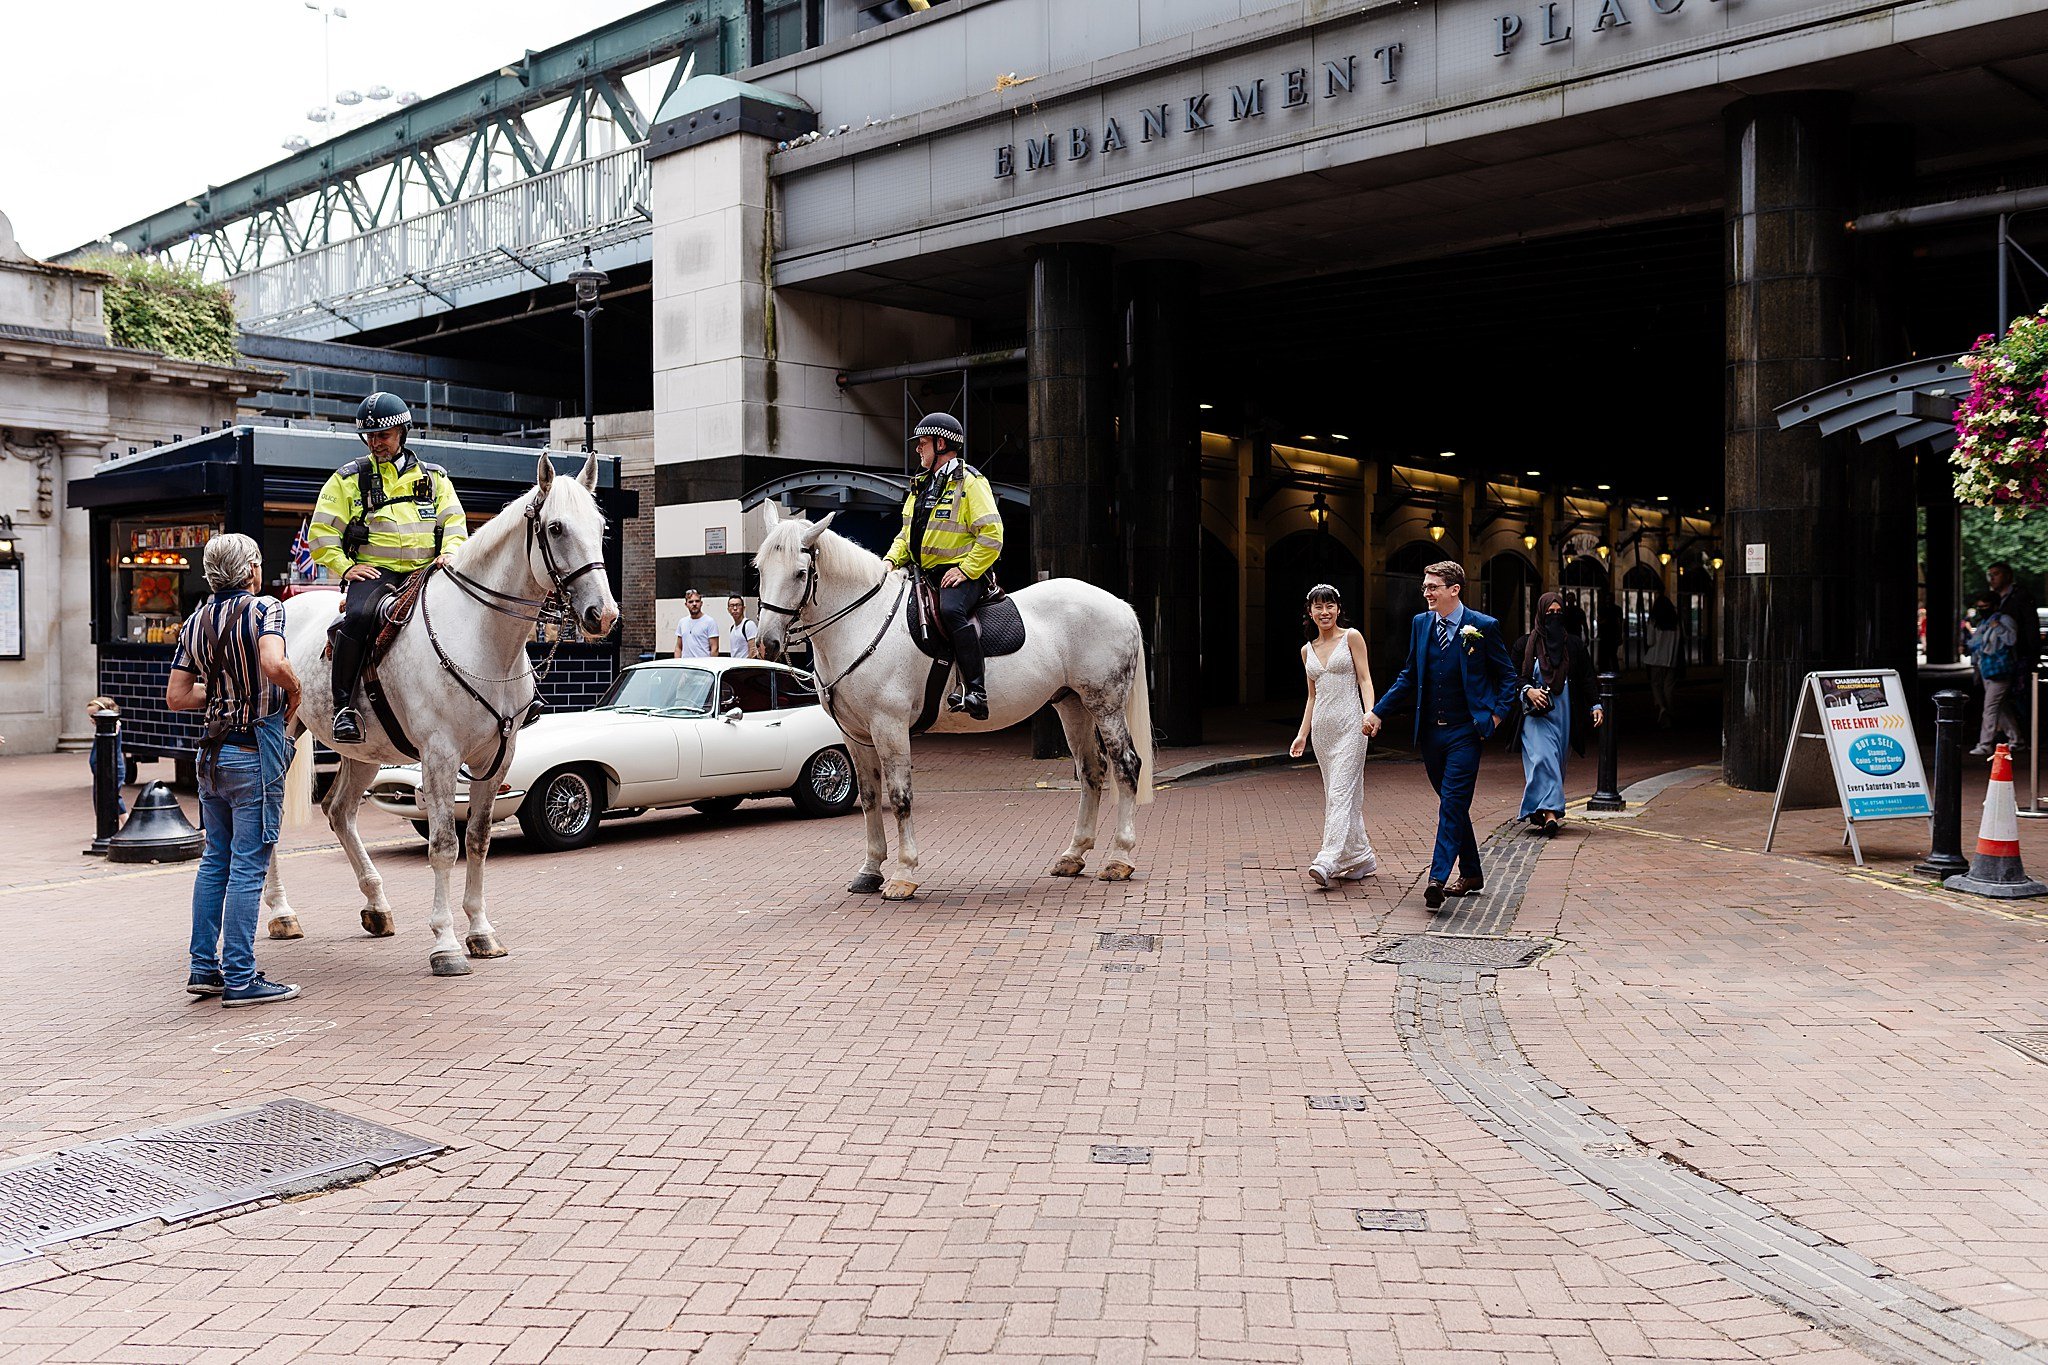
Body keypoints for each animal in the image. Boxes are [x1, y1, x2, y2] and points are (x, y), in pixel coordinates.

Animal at [264, 454, 614, 978]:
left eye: (601, 526)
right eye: (555, 527)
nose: (602, 615)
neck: (482, 637)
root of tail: (286, 600)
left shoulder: (497, 758)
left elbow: (479, 840)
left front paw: (481, 932)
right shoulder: (440, 757)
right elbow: (445, 845)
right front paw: (445, 943)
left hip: (363, 752)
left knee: (340, 811)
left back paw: (376, 906)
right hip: (278, 737)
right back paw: (282, 912)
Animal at [753, 507, 1155, 900]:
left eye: (800, 572)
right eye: (758, 569)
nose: (767, 642)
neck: (862, 622)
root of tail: (1119, 604)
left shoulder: (889, 727)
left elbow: (899, 796)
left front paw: (903, 874)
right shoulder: (855, 735)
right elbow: (869, 797)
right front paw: (870, 870)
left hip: (1105, 703)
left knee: (1126, 766)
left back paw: (1119, 858)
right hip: (1072, 705)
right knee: (1091, 770)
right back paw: (1074, 855)